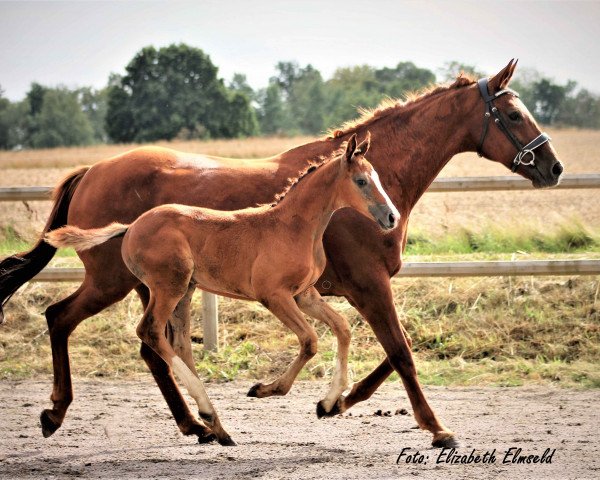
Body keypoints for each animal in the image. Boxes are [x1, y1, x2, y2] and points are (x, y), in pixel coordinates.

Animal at [47, 132, 398, 446]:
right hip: (167, 286)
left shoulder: (304, 294)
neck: (294, 226)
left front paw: (327, 403)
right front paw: (264, 389)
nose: (391, 217)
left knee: (178, 343)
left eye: (377, 177)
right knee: (149, 331)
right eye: (361, 181)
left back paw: (216, 426)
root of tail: (131, 227)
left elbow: (342, 329)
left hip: (185, 291)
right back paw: (205, 416)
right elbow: (310, 341)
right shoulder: (274, 296)